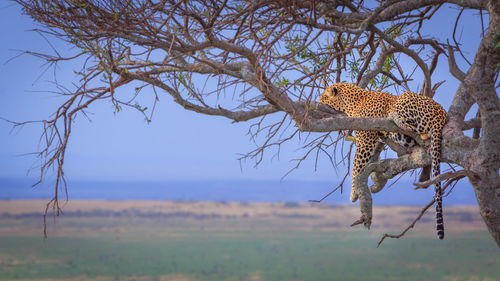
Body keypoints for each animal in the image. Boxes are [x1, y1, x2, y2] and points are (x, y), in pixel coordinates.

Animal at [320, 81, 450, 238]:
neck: (352, 104)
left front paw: (353, 193)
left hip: (406, 99)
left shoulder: (365, 141)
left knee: (413, 126)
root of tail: (443, 114)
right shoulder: (372, 143)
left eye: (324, 97)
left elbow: (356, 166)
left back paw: (393, 116)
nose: (318, 101)